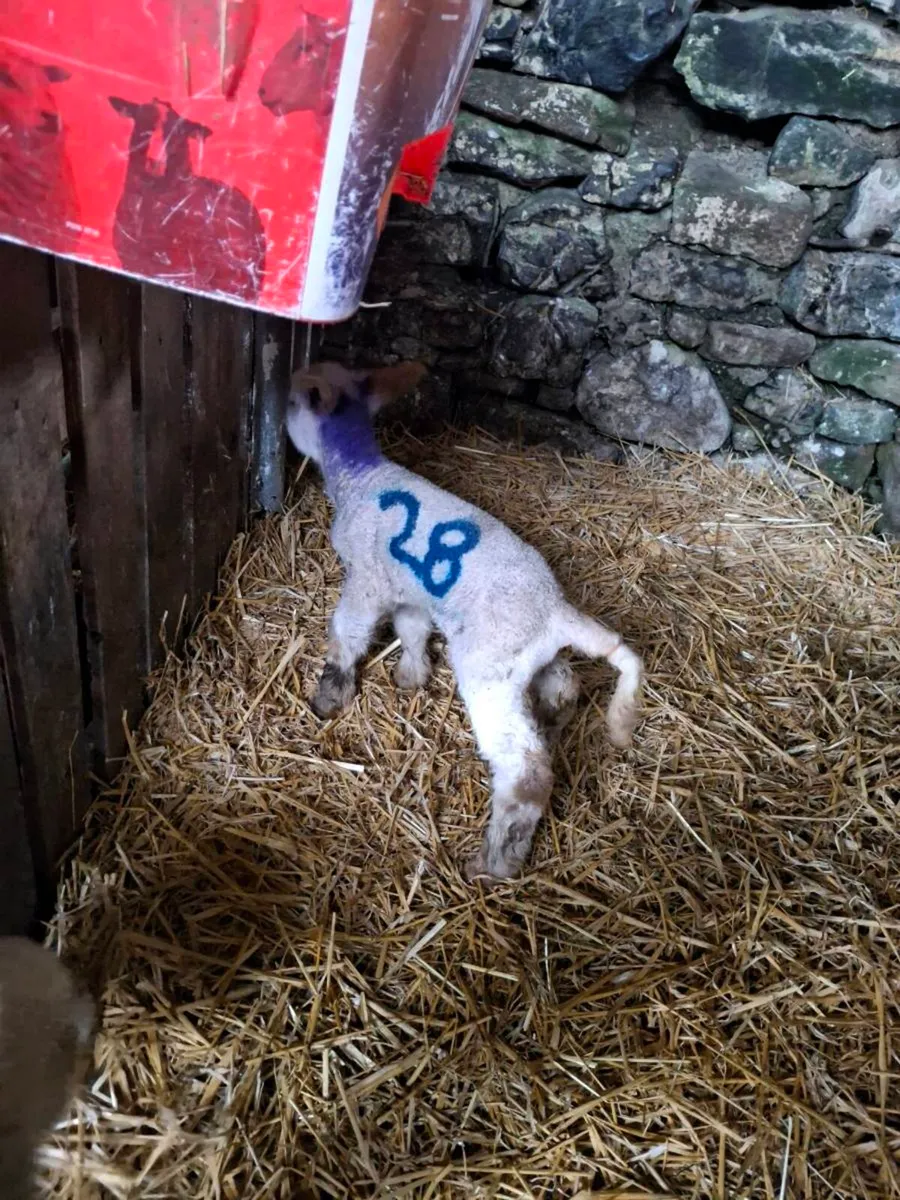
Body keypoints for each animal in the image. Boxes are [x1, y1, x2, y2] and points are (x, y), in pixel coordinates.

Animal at [286, 362, 643, 882]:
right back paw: (552, 722)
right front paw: (411, 676)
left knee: (527, 770)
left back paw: (497, 858)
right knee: (564, 687)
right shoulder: (411, 590)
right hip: (527, 658)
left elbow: (348, 633)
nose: (281, 405)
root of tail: (557, 611)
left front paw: (330, 695)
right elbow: (412, 630)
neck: (359, 472)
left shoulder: (367, 580)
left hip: (488, 668)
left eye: (294, 402)